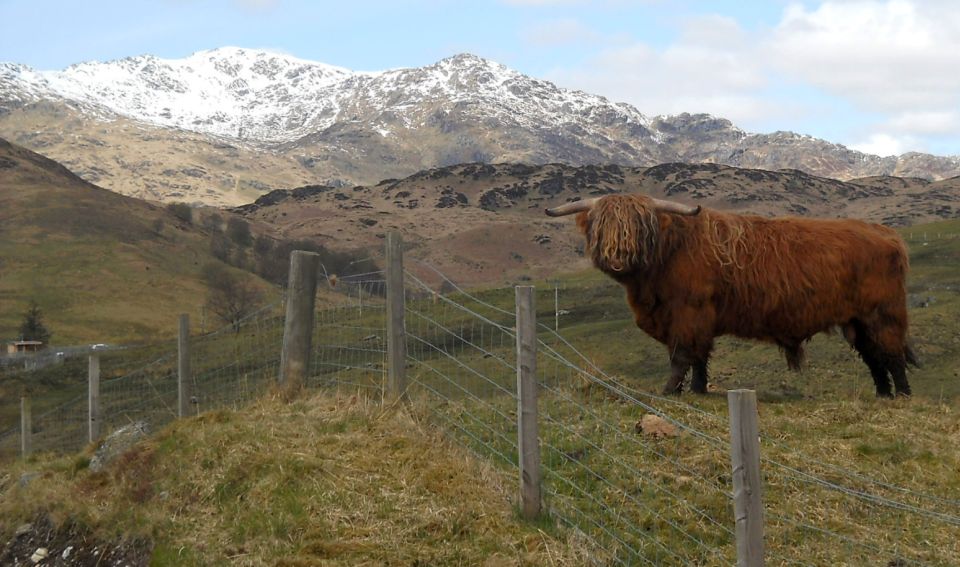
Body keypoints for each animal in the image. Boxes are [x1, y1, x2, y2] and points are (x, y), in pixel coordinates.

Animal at [548, 193, 916, 398]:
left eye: (640, 227)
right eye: (601, 225)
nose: (618, 259)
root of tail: (886, 233)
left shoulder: (689, 312)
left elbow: (682, 355)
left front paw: (670, 391)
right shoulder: (696, 318)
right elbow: (699, 356)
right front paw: (697, 389)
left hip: (883, 313)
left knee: (891, 353)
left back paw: (902, 395)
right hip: (858, 320)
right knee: (873, 356)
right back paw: (882, 395)